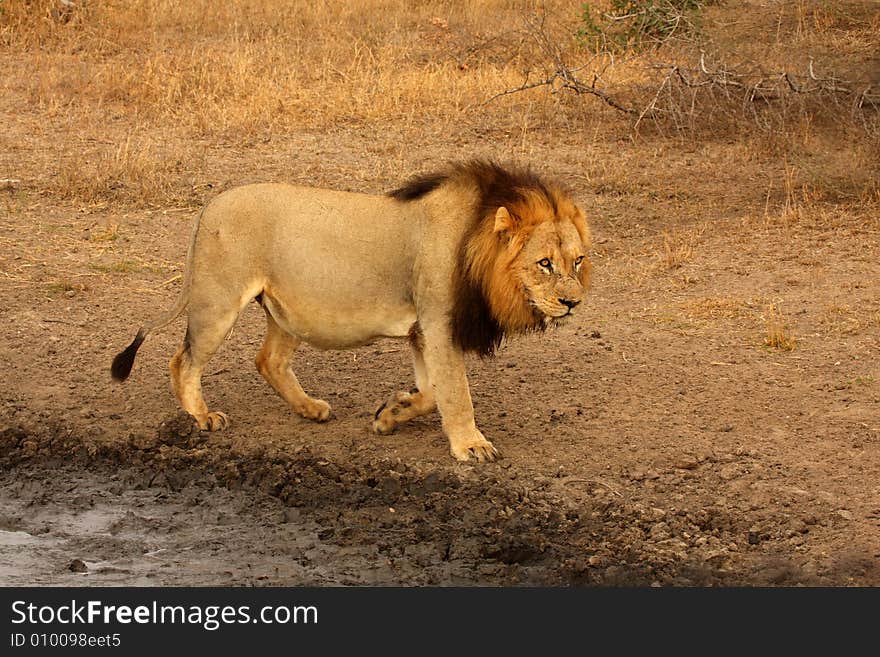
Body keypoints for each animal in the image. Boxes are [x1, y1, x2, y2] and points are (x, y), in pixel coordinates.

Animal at [111, 160, 592, 462]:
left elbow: (431, 391)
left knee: (269, 360)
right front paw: (471, 446)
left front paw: (390, 413)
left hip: (286, 308)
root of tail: (209, 205)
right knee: (184, 359)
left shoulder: (423, 330)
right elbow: (456, 393)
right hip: (219, 301)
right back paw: (202, 417)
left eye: (577, 261)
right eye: (544, 263)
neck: (475, 240)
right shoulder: (439, 322)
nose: (573, 303)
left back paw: (310, 409)